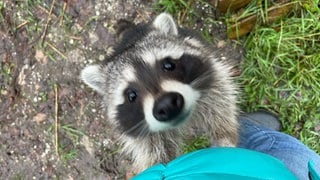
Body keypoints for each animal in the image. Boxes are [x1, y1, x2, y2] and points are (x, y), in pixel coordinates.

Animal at [81, 13, 239, 173]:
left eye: (168, 65)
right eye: (131, 95)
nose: (167, 104)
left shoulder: (213, 81)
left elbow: (221, 108)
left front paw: (224, 140)